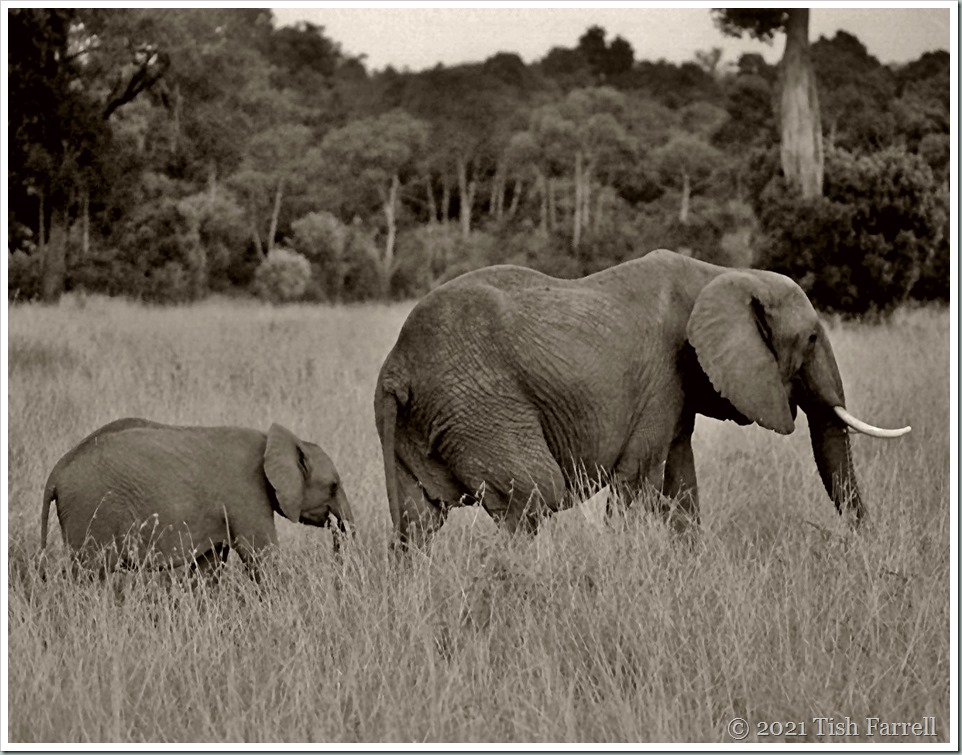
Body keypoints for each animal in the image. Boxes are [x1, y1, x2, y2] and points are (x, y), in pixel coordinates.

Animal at [40, 417, 353, 577]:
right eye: (333, 485)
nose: (337, 528)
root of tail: (56, 471)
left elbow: (209, 565)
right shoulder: (247, 492)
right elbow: (261, 556)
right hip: (90, 511)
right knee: (92, 572)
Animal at [375, 249, 910, 549]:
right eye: (813, 339)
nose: (863, 551)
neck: (722, 273)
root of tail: (396, 367)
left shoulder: (677, 391)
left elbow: (682, 489)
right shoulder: (661, 379)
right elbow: (637, 485)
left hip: (426, 420)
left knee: (418, 523)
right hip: (481, 409)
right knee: (533, 500)